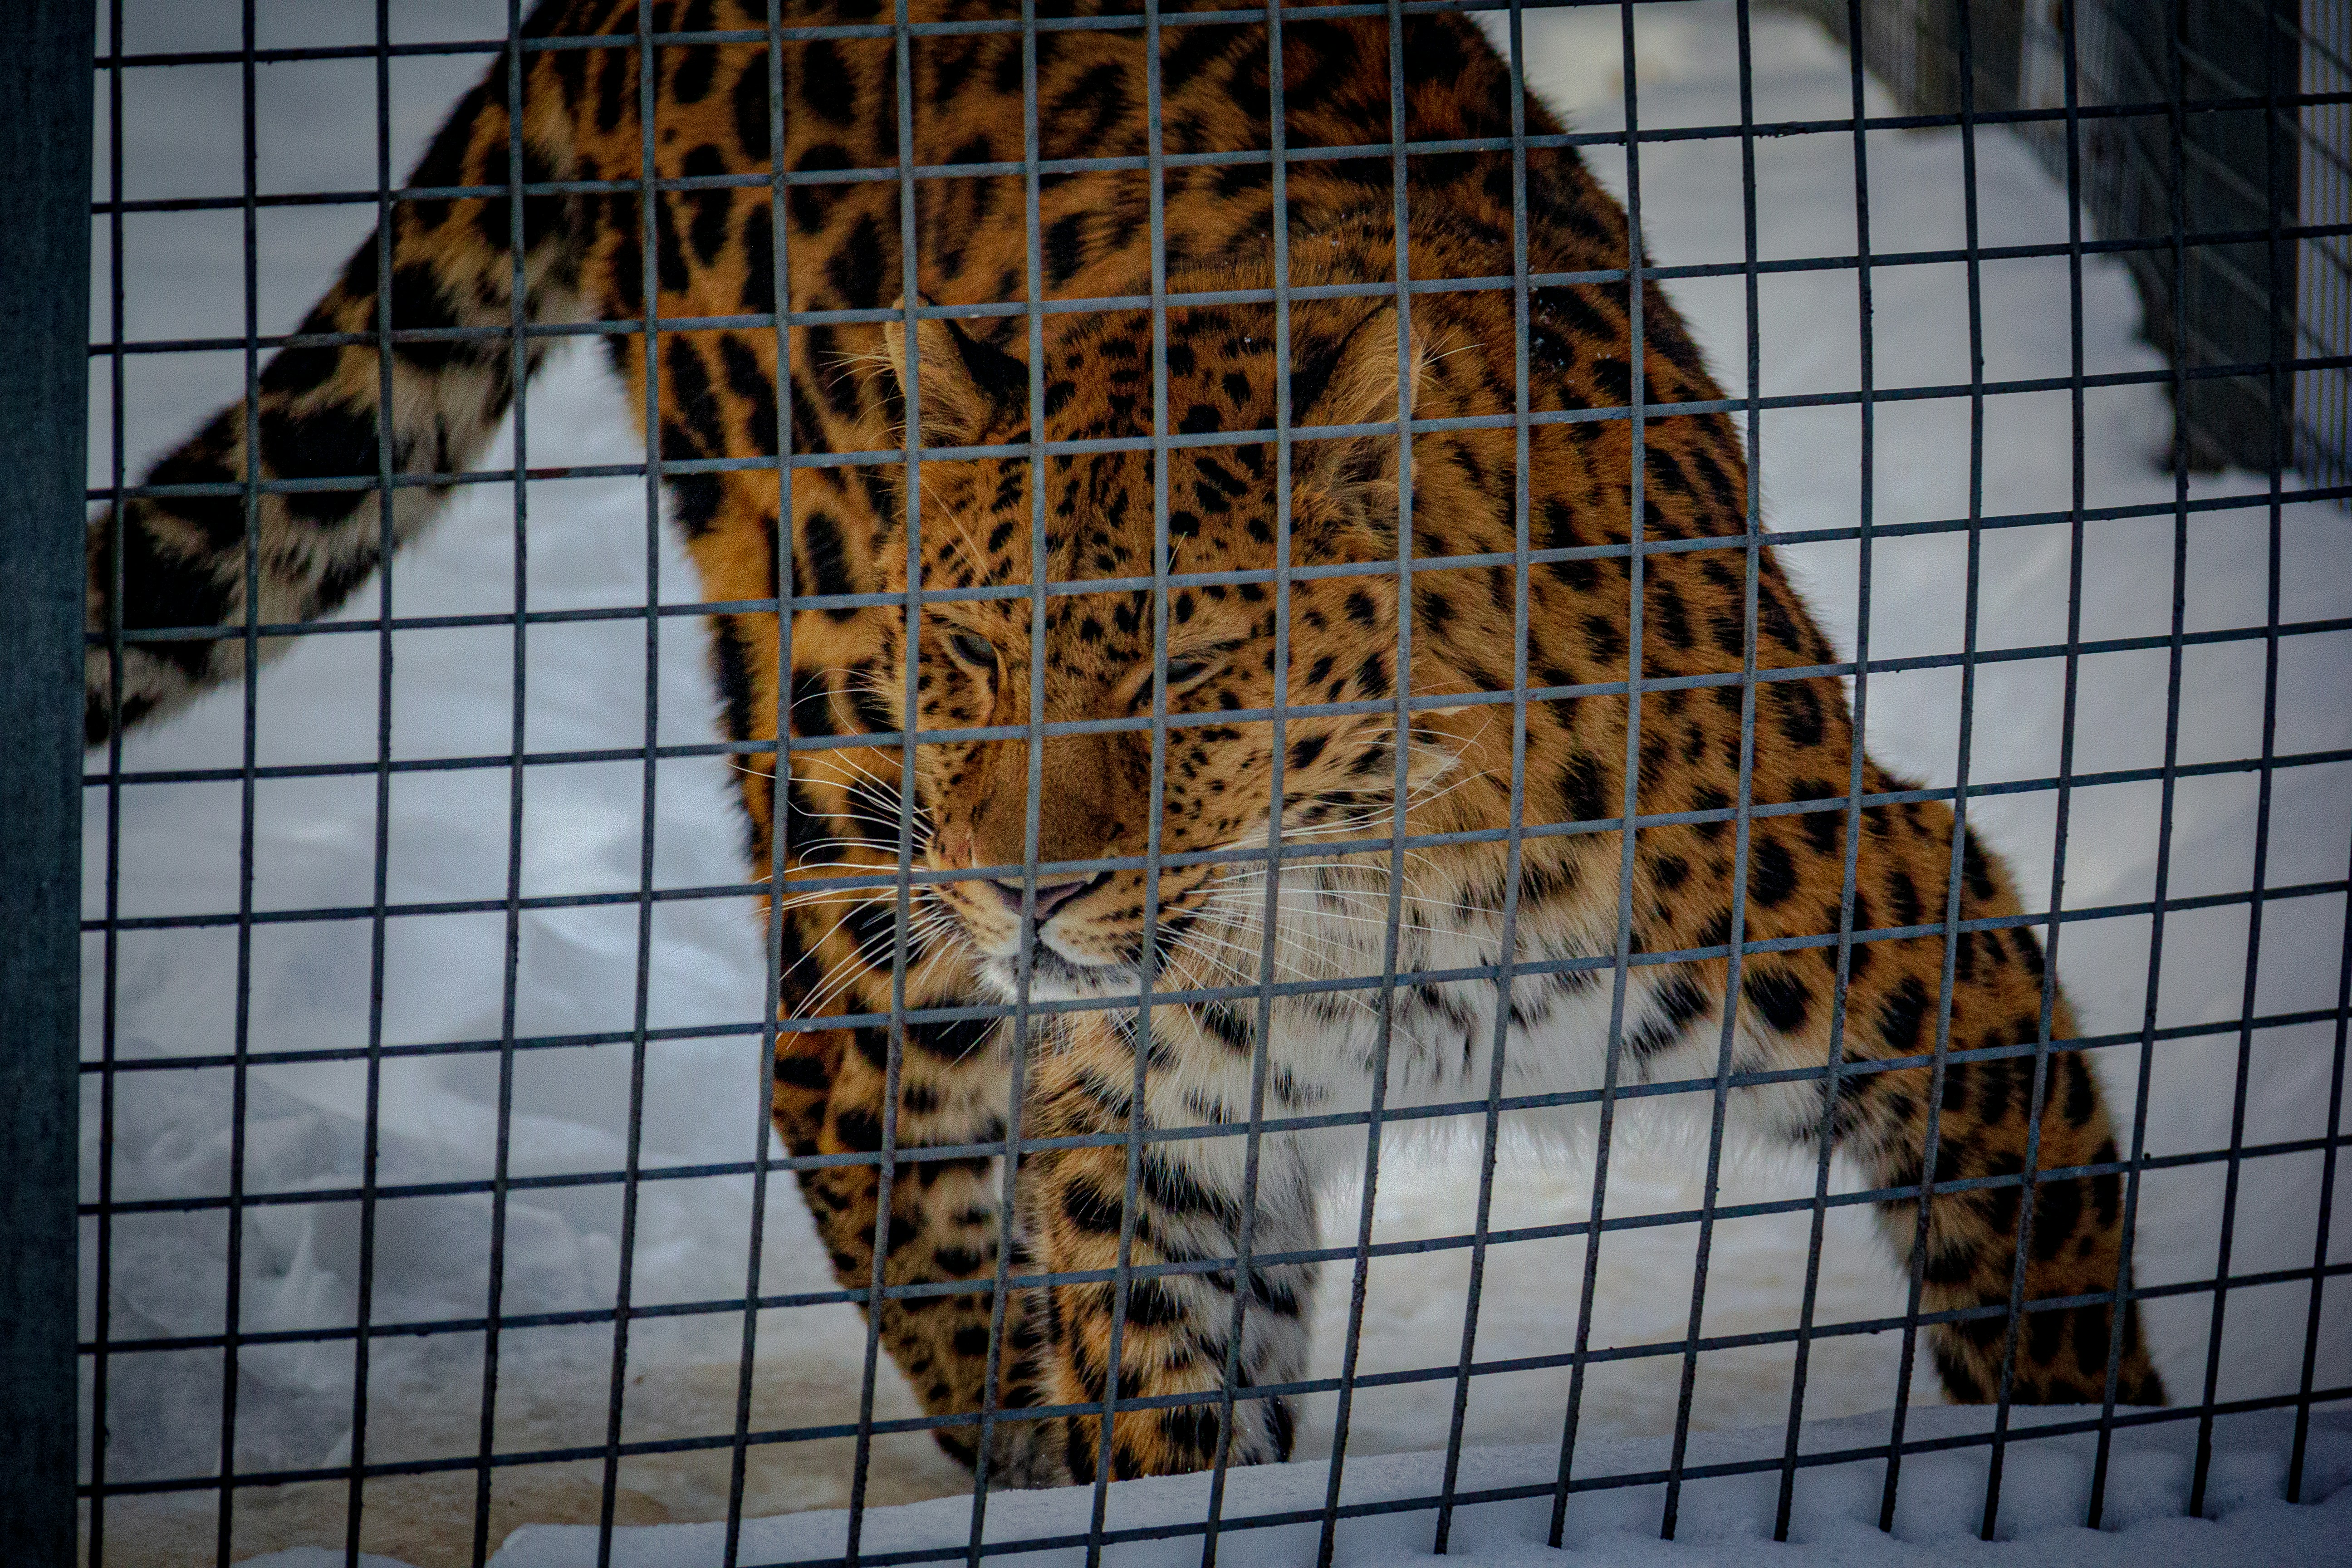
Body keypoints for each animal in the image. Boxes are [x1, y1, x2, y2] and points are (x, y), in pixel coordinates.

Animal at [86, 0, 2165, 1492]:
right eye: (975, 658)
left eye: (1183, 674)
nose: (1027, 896)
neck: (1361, 915)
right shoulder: (1156, 1143)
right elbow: (1173, 1404)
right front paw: (1129, 1467)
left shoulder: (1933, 945)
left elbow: (2047, 1293)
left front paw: (2086, 1476)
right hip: (828, 725)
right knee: (835, 1076)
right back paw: (1012, 1414)